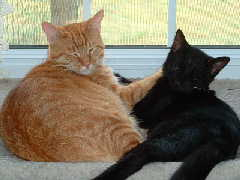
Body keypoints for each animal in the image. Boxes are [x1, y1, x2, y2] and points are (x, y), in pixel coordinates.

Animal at [0, 9, 162, 162]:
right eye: (74, 54)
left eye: (91, 49)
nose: (86, 64)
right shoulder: (123, 95)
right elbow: (144, 83)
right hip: (119, 124)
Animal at [94, 30, 240, 179]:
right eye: (178, 67)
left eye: (195, 78)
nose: (180, 82)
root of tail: (224, 141)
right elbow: (133, 84)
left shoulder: (142, 112)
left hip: (163, 140)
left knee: (137, 158)